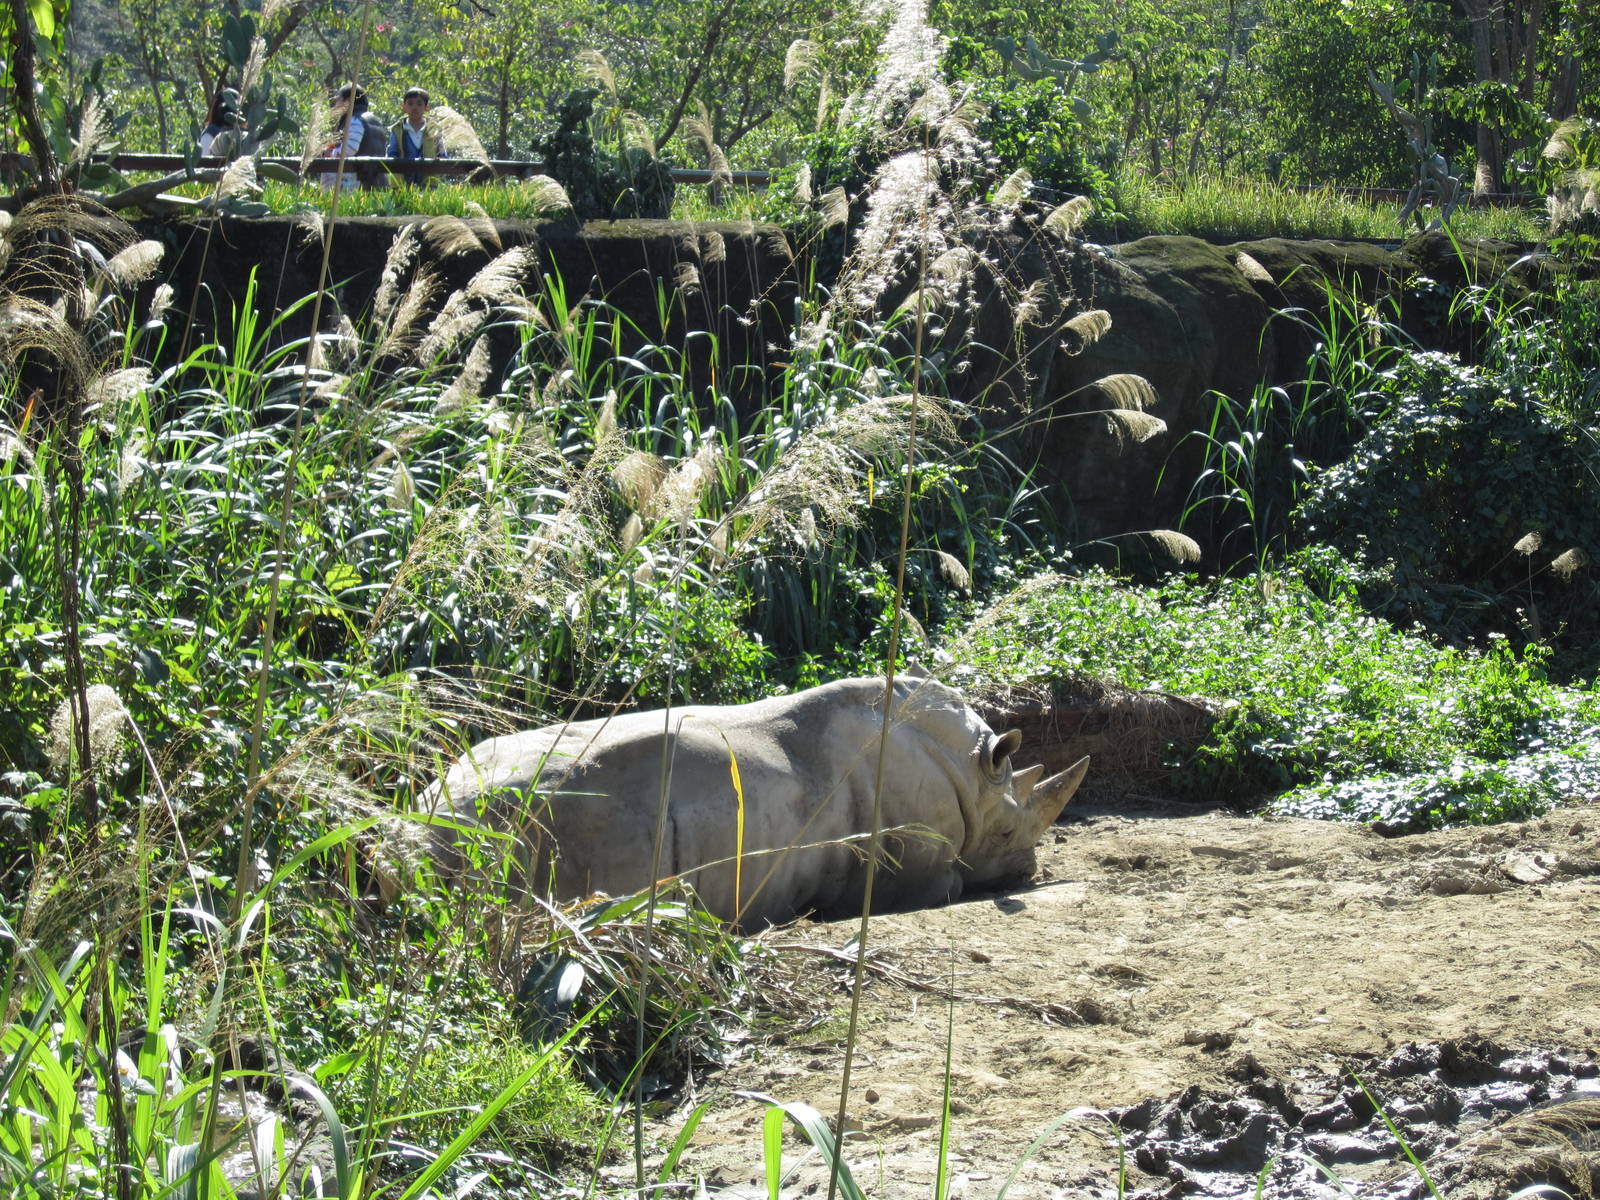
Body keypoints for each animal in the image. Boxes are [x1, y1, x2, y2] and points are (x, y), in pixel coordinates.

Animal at [418, 675, 1088, 928]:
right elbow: (949, 882)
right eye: (1008, 833)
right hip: (521, 830)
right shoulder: (913, 864)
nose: (1028, 873)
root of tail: (421, 818)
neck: (974, 776)